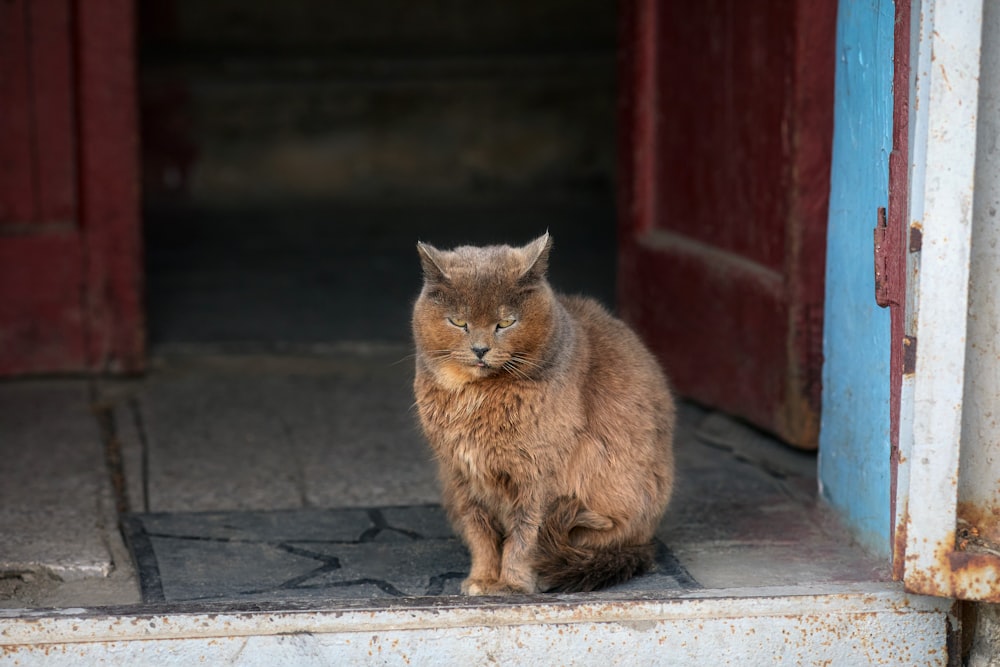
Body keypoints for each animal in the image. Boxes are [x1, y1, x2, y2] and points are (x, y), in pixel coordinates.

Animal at [410, 234, 676, 596]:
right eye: (459, 322)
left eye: (506, 322)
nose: (480, 349)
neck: (478, 397)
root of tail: (645, 541)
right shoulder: (460, 476)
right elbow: (479, 532)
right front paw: (482, 579)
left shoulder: (540, 476)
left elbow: (526, 536)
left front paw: (512, 584)